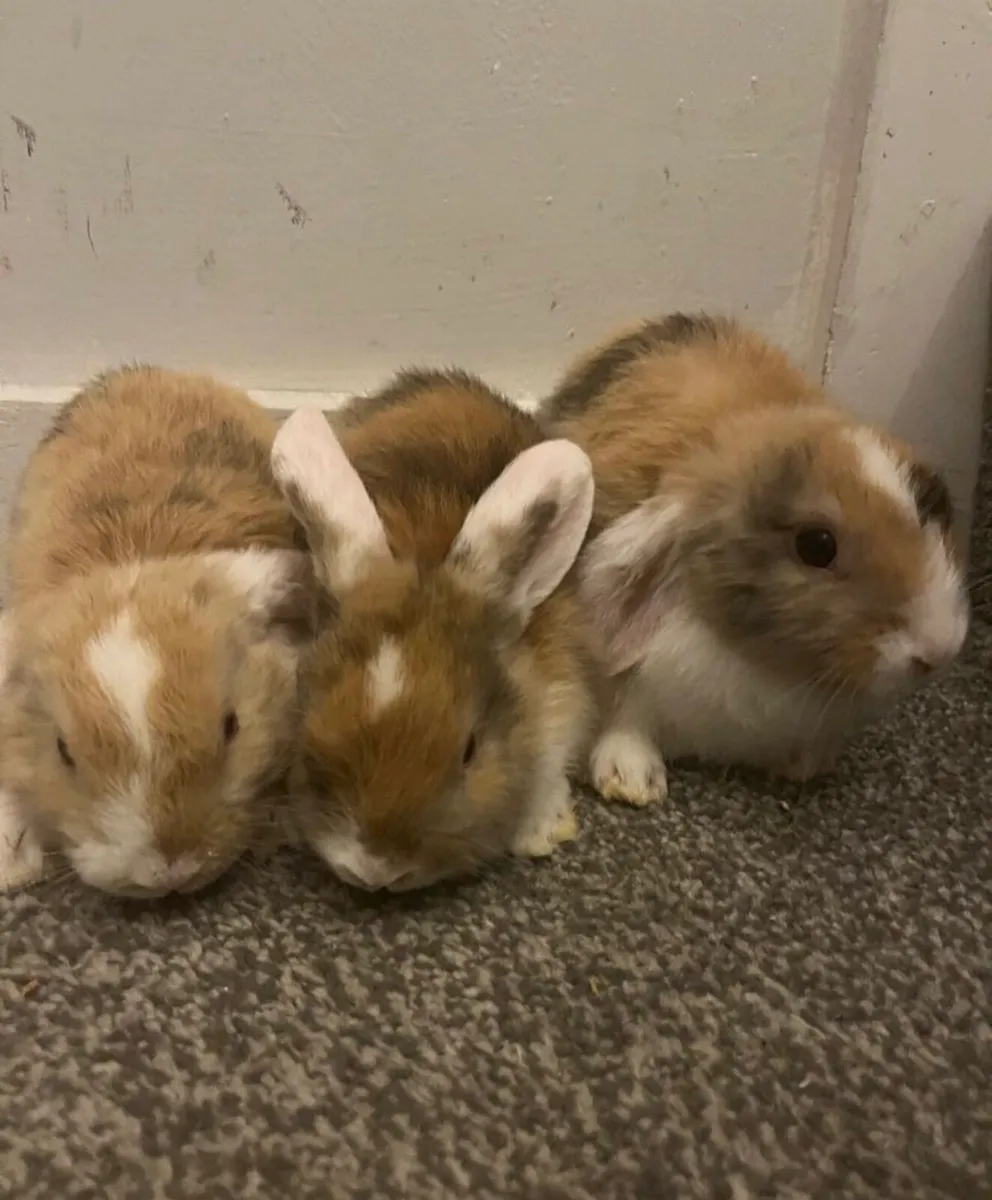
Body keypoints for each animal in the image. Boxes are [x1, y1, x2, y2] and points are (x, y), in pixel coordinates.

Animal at [540, 312, 970, 803]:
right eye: (817, 545)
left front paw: (804, 768)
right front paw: (633, 783)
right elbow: (625, 720)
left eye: (932, 505)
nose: (938, 649)